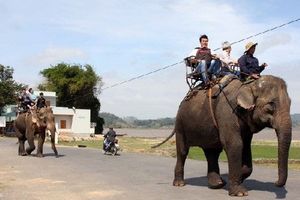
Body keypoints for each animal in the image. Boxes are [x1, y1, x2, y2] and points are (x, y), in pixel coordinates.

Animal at [156, 75, 292, 197]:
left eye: (290, 103)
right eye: (271, 105)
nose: (275, 183)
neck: (247, 85)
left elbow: (246, 146)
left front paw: (235, 178)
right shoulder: (227, 112)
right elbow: (235, 144)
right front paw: (240, 193)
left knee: (212, 152)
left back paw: (217, 183)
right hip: (180, 124)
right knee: (183, 151)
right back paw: (180, 184)